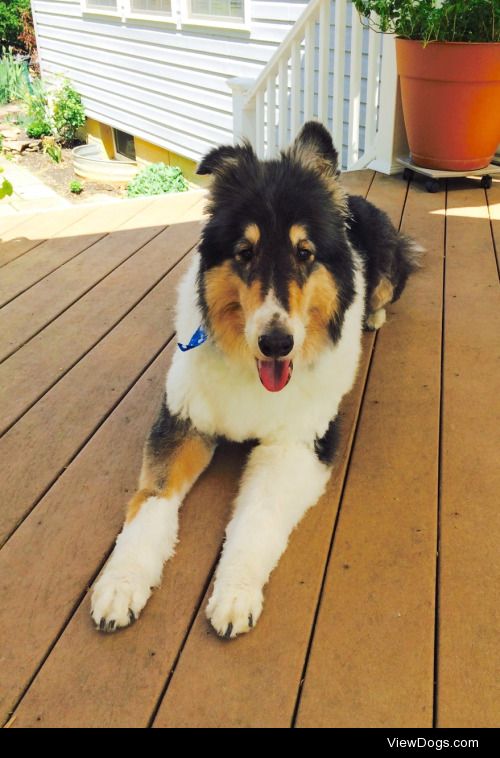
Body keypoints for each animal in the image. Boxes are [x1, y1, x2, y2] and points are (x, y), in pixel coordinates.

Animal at [91, 121, 422, 640]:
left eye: (304, 253)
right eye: (244, 253)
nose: (276, 344)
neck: (253, 374)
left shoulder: (297, 446)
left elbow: (256, 521)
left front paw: (235, 594)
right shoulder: (182, 423)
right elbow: (150, 501)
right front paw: (122, 584)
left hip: (389, 265)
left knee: (384, 291)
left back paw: (374, 316)